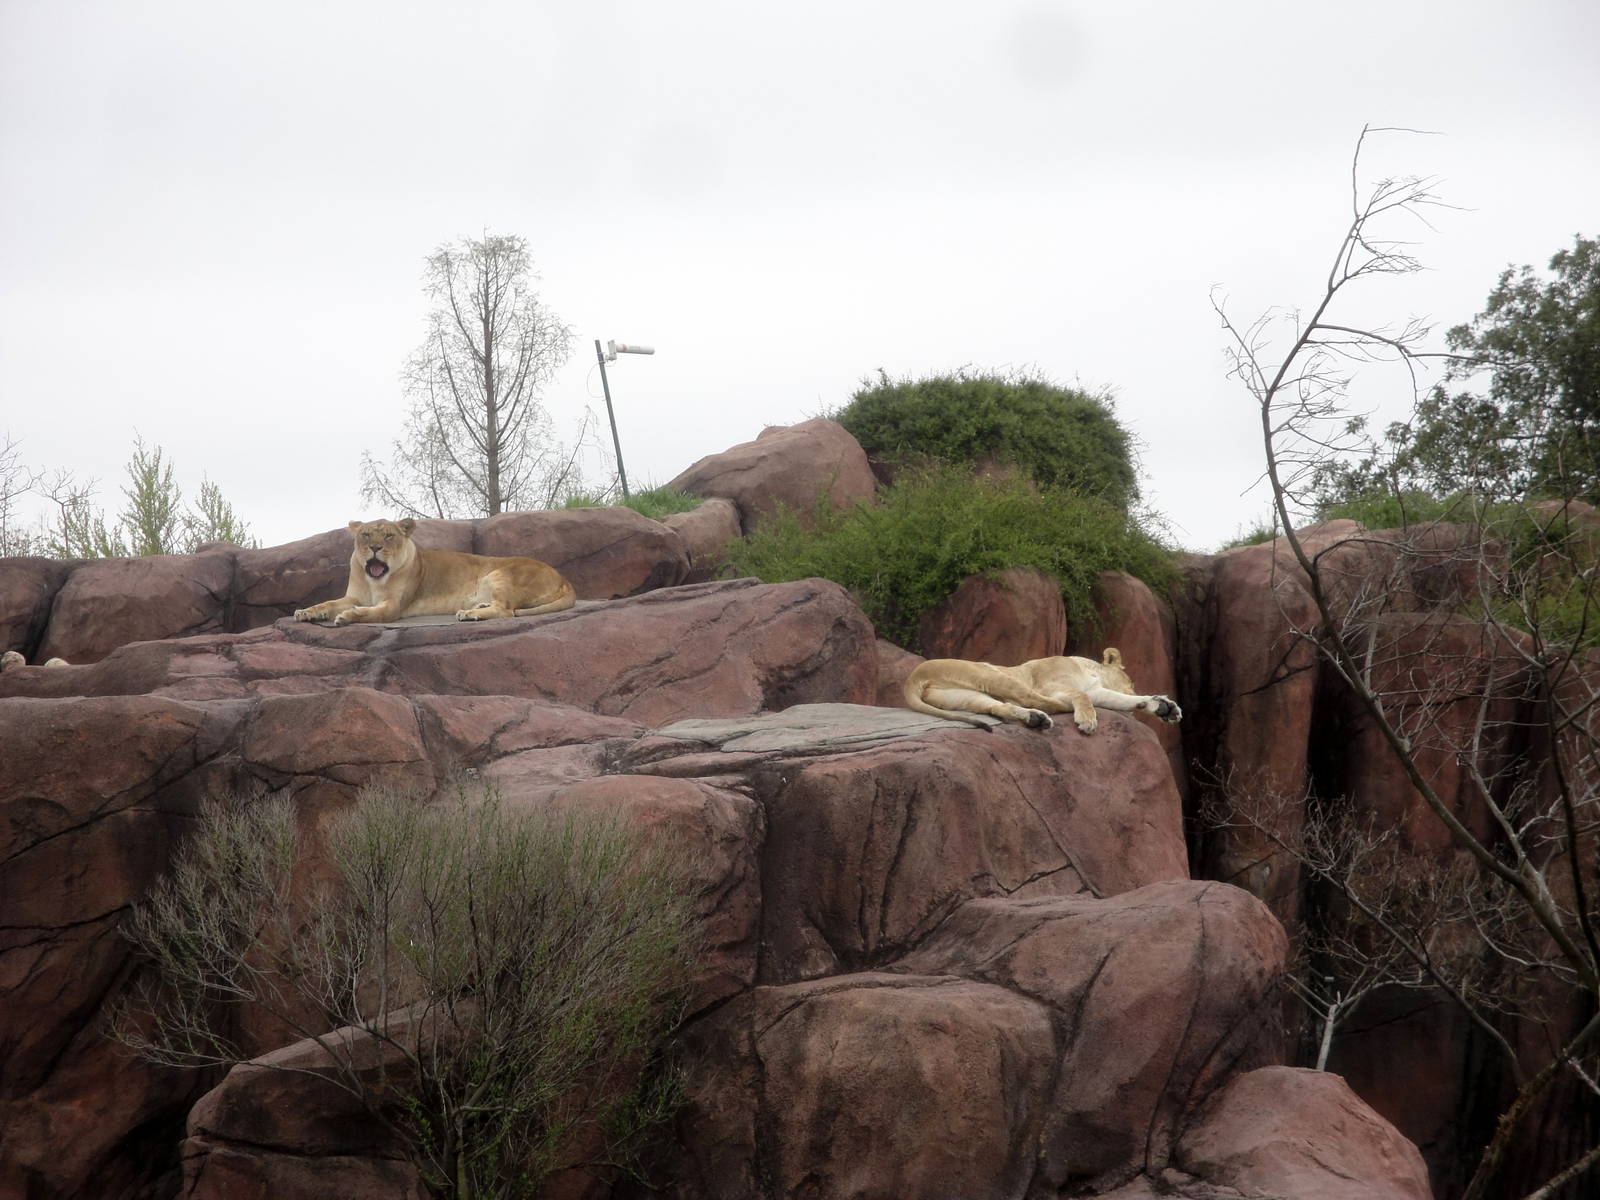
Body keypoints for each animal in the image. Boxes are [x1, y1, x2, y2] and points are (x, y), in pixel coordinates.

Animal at [292, 518, 577, 626]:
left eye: (389, 535)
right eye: (365, 535)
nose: (375, 547)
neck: (374, 581)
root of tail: (563, 578)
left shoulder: (393, 606)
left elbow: (369, 613)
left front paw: (347, 617)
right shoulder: (353, 596)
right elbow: (328, 602)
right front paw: (306, 611)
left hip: (497, 574)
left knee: (506, 611)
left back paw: (469, 613)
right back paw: (478, 606)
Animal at [903, 647, 1182, 734]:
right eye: (1131, 680)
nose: (1134, 689)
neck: (1091, 671)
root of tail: (912, 677)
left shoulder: (1097, 691)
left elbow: (1118, 699)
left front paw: (1161, 706)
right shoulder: (1052, 684)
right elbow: (1081, 695)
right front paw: (1087, 719)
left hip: (963, 696)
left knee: (999, 706)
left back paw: (1034, 719)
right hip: (991, 673)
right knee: (1038, 700)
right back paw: (1045, 715)